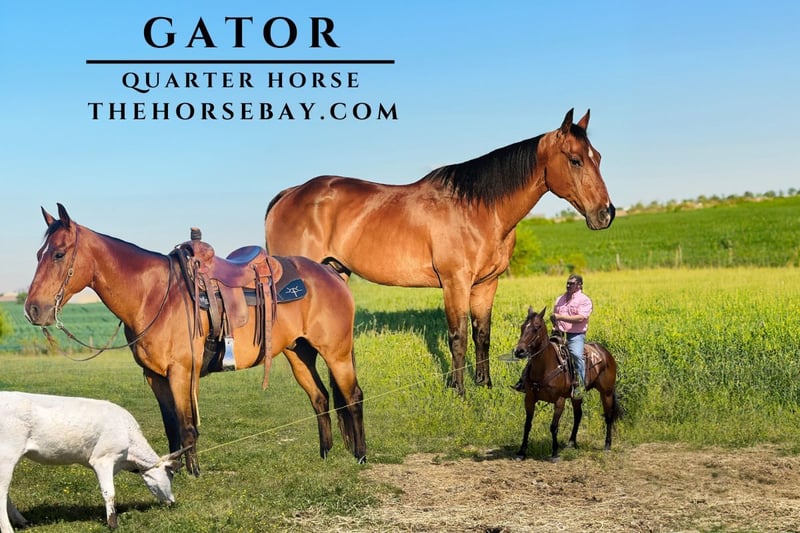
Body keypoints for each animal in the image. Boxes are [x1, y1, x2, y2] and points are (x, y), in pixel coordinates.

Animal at [23, 204, 366, 477]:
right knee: (320, 398)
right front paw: (171, 471)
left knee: (353, 397)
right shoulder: (155, 376)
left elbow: (187, 426)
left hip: (336, 353)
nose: (33, 309)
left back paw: (361, 455)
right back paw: (325, 455)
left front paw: (194, 474)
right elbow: (171, 427)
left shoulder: (181, 372)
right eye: (39, 254)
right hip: (299, 354)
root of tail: (330, 274)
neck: (153, 296)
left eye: (58, 254)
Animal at [264, 109, 615, 396]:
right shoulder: (454, 282)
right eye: (575, 159)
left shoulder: (486, 284)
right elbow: (457, 337)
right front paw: (459, 390)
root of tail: (289, 194)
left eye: (598, 157)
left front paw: (484, 384)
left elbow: (481, 334)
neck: (478, 209)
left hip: (335, 273)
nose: (606, 214)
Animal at [513, 306, 620, 461]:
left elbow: (553, 426)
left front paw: (555, 453)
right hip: (577, 395)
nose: (519, 351)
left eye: (536, 328)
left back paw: (607, 444)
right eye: (522, 326)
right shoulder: (529, 398)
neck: (545, 366)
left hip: (606, 393)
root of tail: (605, 353)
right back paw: (571, 442)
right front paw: (521, 452)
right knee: (578, 415)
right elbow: (527, 424)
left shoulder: (559, 400)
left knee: (608, 416)